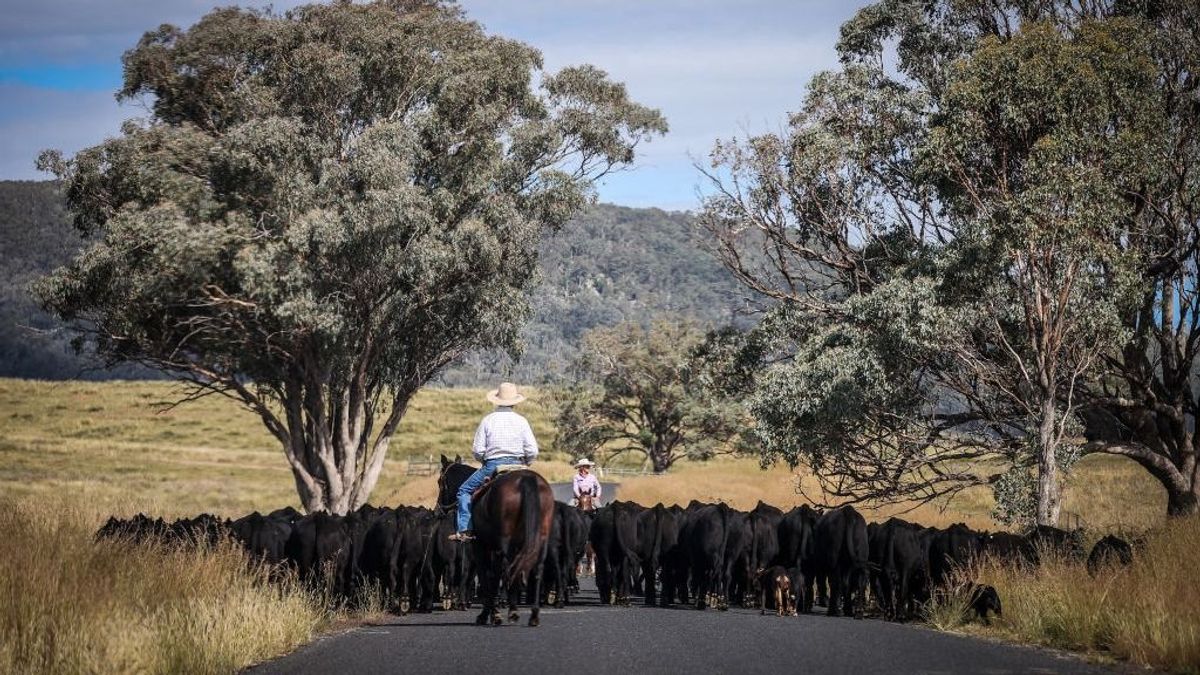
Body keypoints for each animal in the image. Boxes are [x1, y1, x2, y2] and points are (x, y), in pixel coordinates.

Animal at [439, 456, 554, 624]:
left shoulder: (480, 546)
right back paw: (532, 615)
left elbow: (486, 575)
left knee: (506, 569)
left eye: (440, 482)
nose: (439, 510)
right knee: (535, 569)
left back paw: (509, 611)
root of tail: (526, 481)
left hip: (504, 543)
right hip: (538, 540)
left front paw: (489, 613)